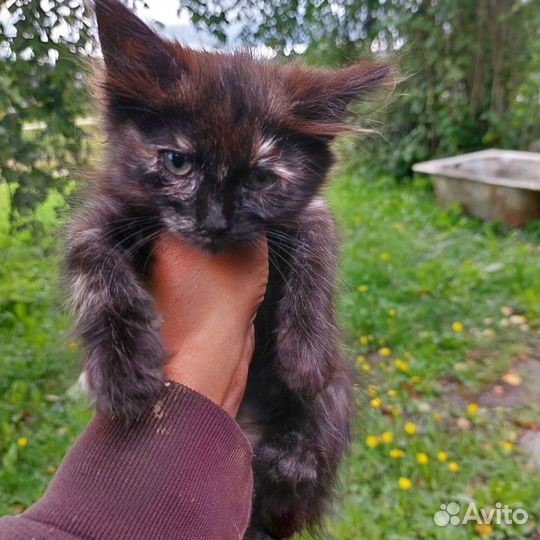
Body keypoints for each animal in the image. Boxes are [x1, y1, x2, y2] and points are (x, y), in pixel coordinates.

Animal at [65, 2, 390, 536]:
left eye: (260, 178)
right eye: (177, 163)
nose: (215, 222)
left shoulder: (309, 213)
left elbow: (318, 250)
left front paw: (306, 350)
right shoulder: (104, 213)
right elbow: (93, 265)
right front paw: (122, 367)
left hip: (340, 390)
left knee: (305, 476)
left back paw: (293, 458)